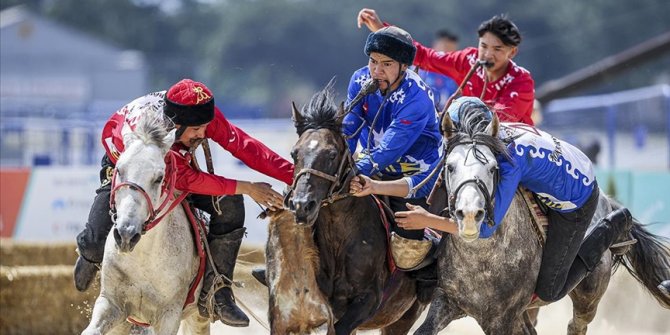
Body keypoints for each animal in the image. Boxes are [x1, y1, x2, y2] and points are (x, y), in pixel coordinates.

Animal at [83, 109, 210, 334]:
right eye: (119, 169)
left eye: (159, 177)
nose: (126, 235)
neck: (143, 257)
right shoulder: (111, 304)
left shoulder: (169, 314)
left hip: (198, 318)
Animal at [266, 84, 428, 335]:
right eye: (295, 153)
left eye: (332, 154)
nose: (302, 205)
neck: (340, 236)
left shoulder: (368, 300)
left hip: (403, 317)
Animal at [418, 113, 668, 335]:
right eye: (450, 167)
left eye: (492, 168)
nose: (470, 215)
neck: (481, 261)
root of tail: (606, 200)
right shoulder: (446, 300)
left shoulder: (501, 319)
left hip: (587, 294)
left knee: (572, 316)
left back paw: (621, 222)